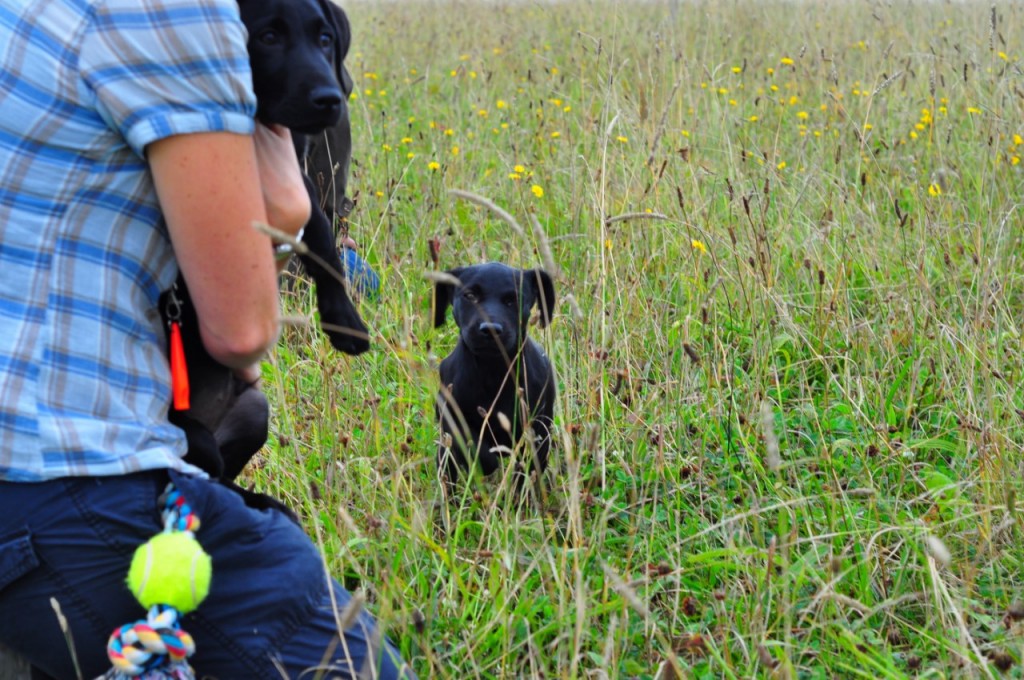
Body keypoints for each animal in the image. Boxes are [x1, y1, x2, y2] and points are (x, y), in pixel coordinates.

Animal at [434, 262, 561, 497]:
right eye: (470, 295)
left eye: (513, 299)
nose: (490, 329)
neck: (492, 371)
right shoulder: (450, 416)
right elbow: (473, 445)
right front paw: (484, 461)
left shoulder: (538, 430)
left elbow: (527, 471)